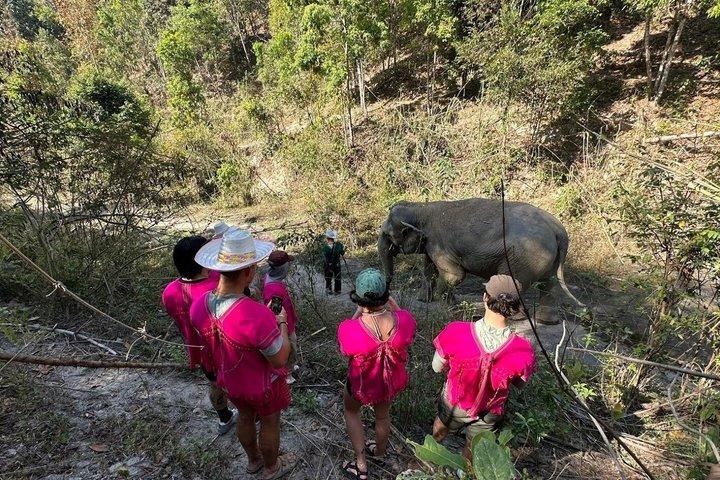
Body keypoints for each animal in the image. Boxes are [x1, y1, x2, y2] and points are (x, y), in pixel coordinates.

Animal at [377, 198, 584, 322]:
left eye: (388, 234)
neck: (422, 208)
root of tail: (559, 231)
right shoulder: (430, 244)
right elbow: (429, 268)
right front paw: (425, 300)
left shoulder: (437, 242)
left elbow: (455, 275)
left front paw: (447, 306)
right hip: (546, 257)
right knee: (548, 283)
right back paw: (547, 321)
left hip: (524, 256)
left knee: (514, 283)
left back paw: (513, 318)